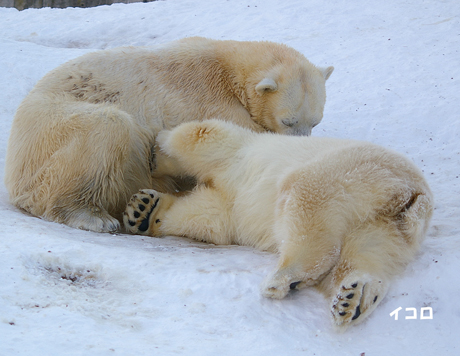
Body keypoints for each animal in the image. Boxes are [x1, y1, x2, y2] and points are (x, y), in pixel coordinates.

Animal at [3, 36, 334, 234]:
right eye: (288, 120)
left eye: (315, 122)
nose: (298, 144)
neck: (228, 70)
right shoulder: (212, 103)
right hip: (52, 128)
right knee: (108, 127)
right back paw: (92, 216)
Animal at [123, 120, 432, 330]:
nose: (151, 159)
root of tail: (413, 193)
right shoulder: (231, 200)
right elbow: (210, 216)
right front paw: (143, 210)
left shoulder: (233, 151)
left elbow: (198, 134)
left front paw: (161, 145)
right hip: (386, 224)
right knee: (367, 254)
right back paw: (353, 298)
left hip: (349, 173)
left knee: (307, 206)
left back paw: (281, 279)